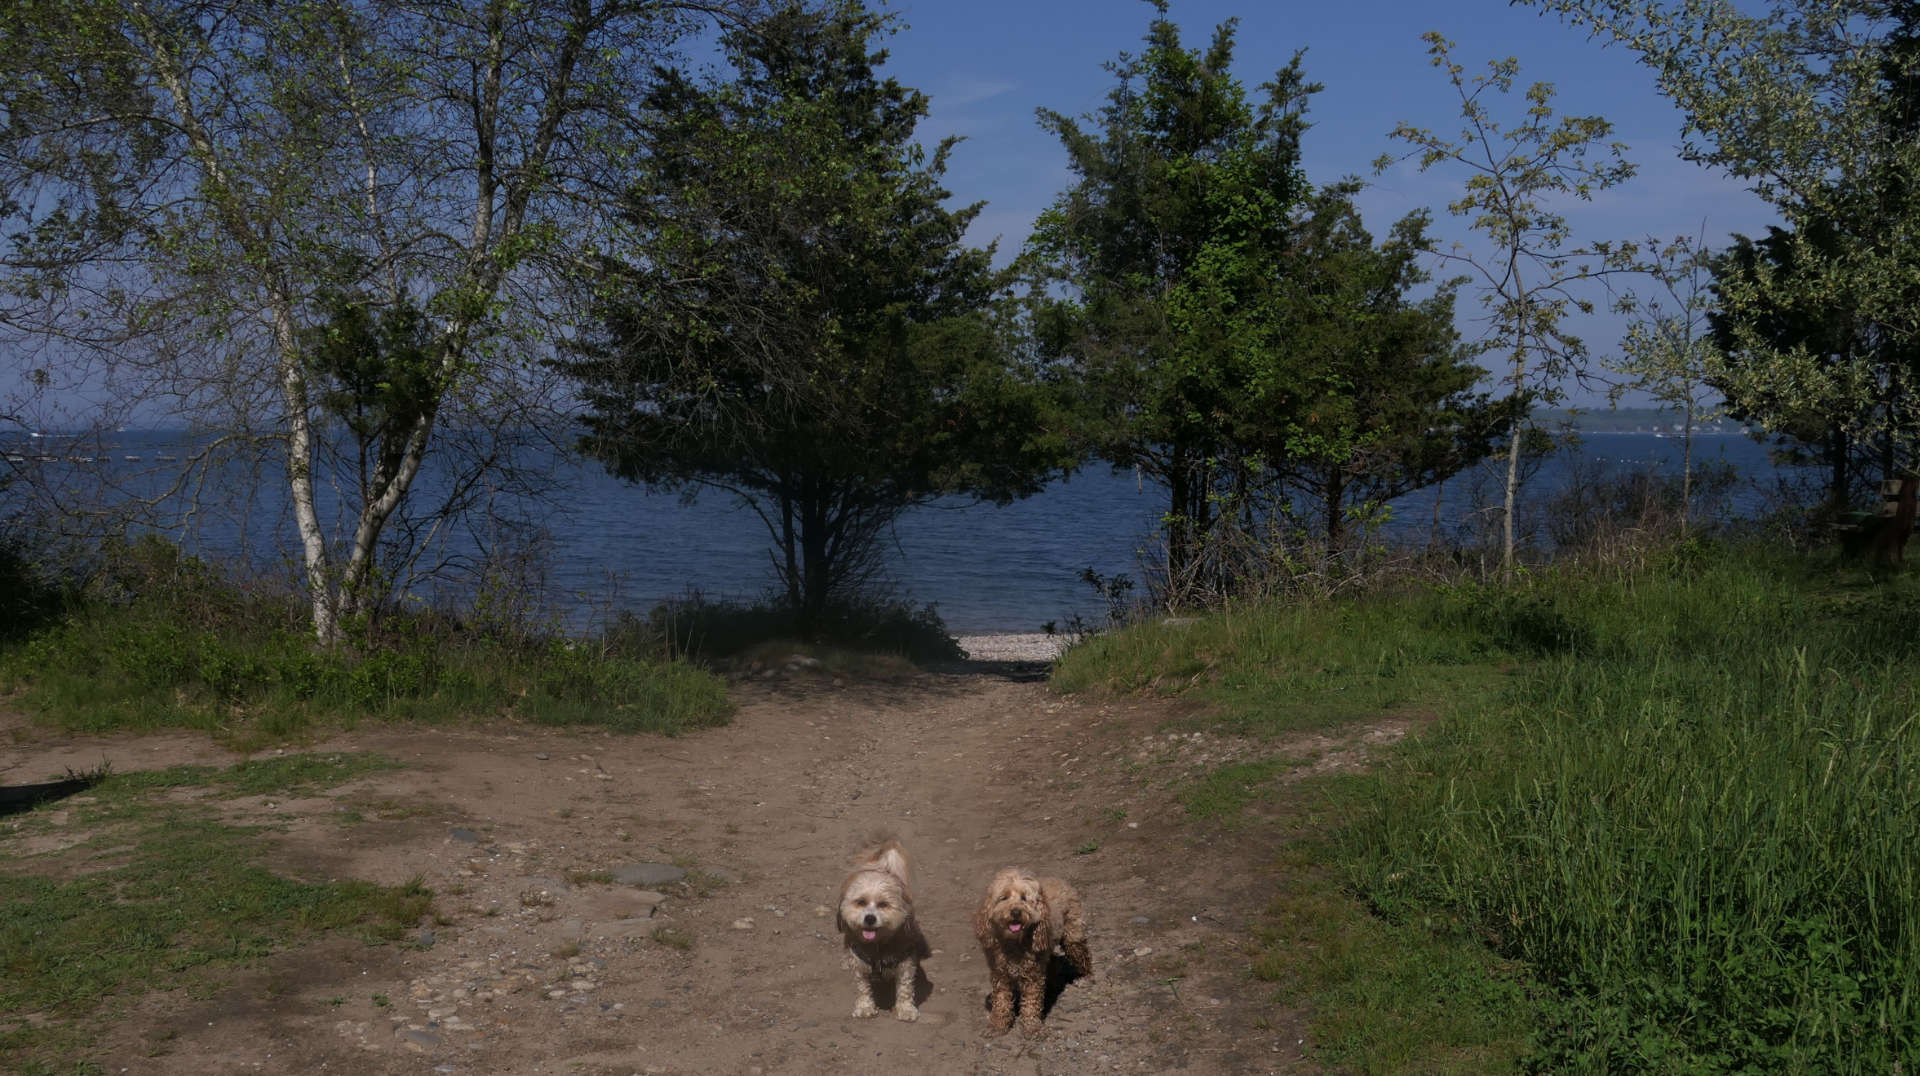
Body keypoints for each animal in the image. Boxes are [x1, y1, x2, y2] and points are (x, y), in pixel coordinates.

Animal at [967, 864, 1090, 1037]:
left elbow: (1031, 1003)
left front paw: (1032, 1028)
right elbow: (1001, 1001)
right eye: (1003, 898)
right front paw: (998, 1026)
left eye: (1024, 898)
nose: (1015, 912)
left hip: (1073, 937)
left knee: (1083, 955)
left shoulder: (1033, 974)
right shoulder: (1000, 974)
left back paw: (1086, 978)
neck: (1013, 943)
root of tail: (1061, 881)